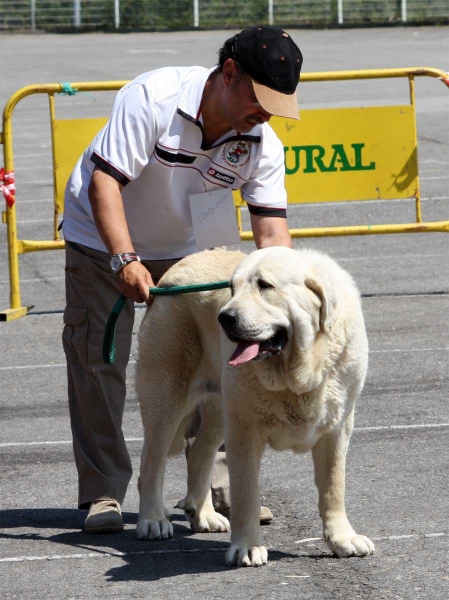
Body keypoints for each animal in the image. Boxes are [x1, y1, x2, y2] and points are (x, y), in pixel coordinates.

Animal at [135, 247, 372, 568]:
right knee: (151, 462)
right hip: (166, 396)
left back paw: (204, 514)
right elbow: (245, 491)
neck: (299, 372)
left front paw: (342, 539)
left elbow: (334, 486)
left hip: (219, 406)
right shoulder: (244, 430)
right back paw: (152, 520)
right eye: (232, 289)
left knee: (199, 452)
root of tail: (171, 274)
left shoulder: (337, 428)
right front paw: (247, 547)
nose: (225, 317)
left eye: (264, 286)